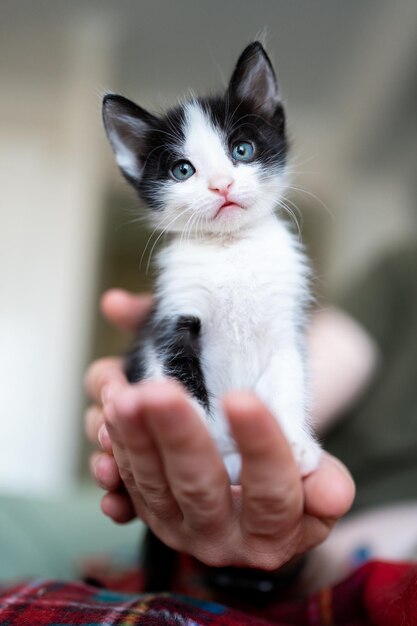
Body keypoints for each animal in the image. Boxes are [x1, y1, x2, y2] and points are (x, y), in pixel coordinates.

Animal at [102, 41, 320, 486]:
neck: (229, 249)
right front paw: (194, 442)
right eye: (182, 170)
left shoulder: (283, 325)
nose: (222, 185)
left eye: (242, 150)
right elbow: (178, 376)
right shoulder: (171, 321)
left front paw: (293, 444)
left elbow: (287, 375)